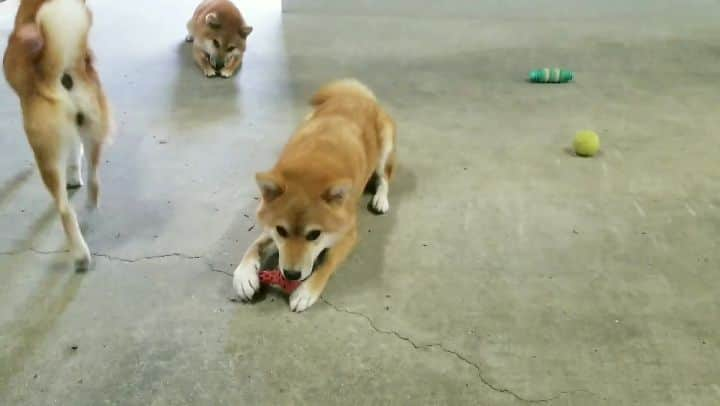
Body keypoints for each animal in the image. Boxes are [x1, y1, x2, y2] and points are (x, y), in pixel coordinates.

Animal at [3, 0, 112, 272]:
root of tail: (63, 70)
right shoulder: (74, 133)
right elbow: (74, 154)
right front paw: (74, 176)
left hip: (47, 157)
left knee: (64, 209)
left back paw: (80, 255)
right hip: (93, 132)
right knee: (94, 179)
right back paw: (90, 210)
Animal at [233, 80, 396, 314]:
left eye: (314, 235)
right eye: (281, 231)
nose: (291, 275)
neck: (311, 168)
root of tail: (356, 95)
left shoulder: (349, 234)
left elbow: (327, 263)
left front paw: (306, 291)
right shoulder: (271, 227)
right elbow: (255, 245)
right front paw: (243, 275)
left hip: (385, 149)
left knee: (385, 177)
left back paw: (381, 199)